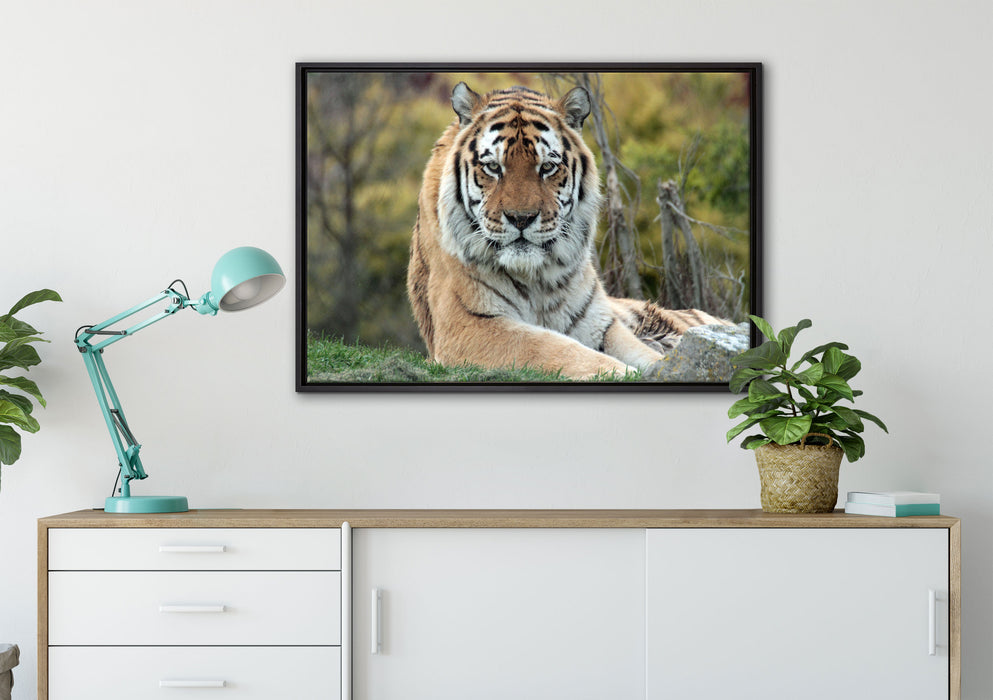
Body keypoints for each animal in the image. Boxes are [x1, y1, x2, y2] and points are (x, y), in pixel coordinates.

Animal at [406, 82, 727, 380]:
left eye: (547, 167)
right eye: (493, 167)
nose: (521, 219)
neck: (535, 278)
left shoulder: (600, 323)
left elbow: (643, 354)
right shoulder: (471, 325)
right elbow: (551, 347)